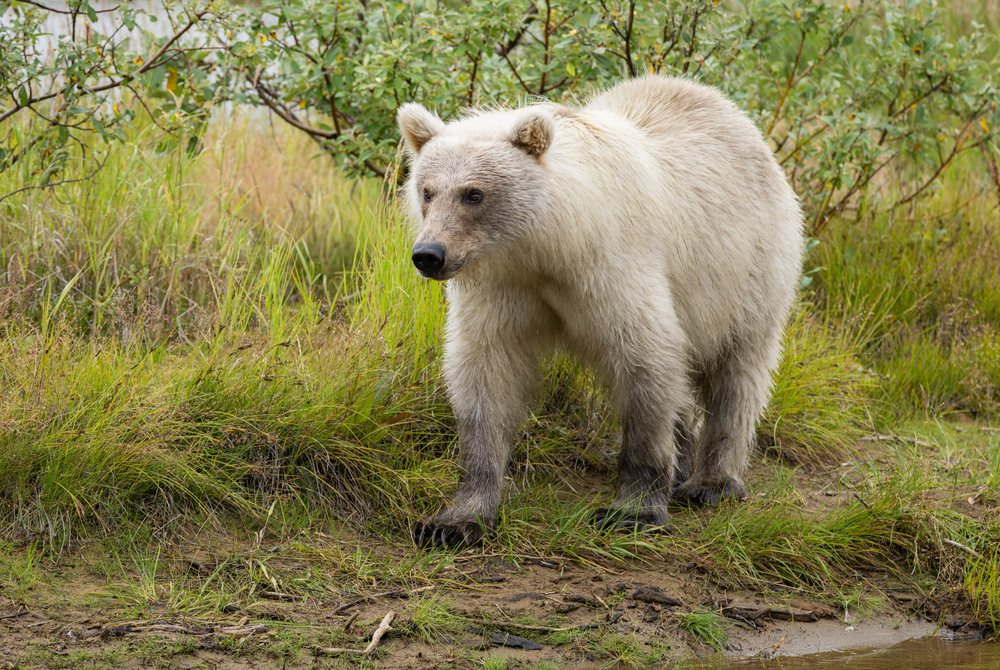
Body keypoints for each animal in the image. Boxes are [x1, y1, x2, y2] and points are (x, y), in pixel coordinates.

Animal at [397, 75, 803, 548]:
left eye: (473, 194)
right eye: (427, 190)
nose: (429, 254)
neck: (546, 248)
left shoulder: (611, 271)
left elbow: (645, 360)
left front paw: (633, 508)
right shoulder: (502, 291)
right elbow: (485, 376)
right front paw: (456, 518)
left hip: (750, 270)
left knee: (737, 373)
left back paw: (712, 482)